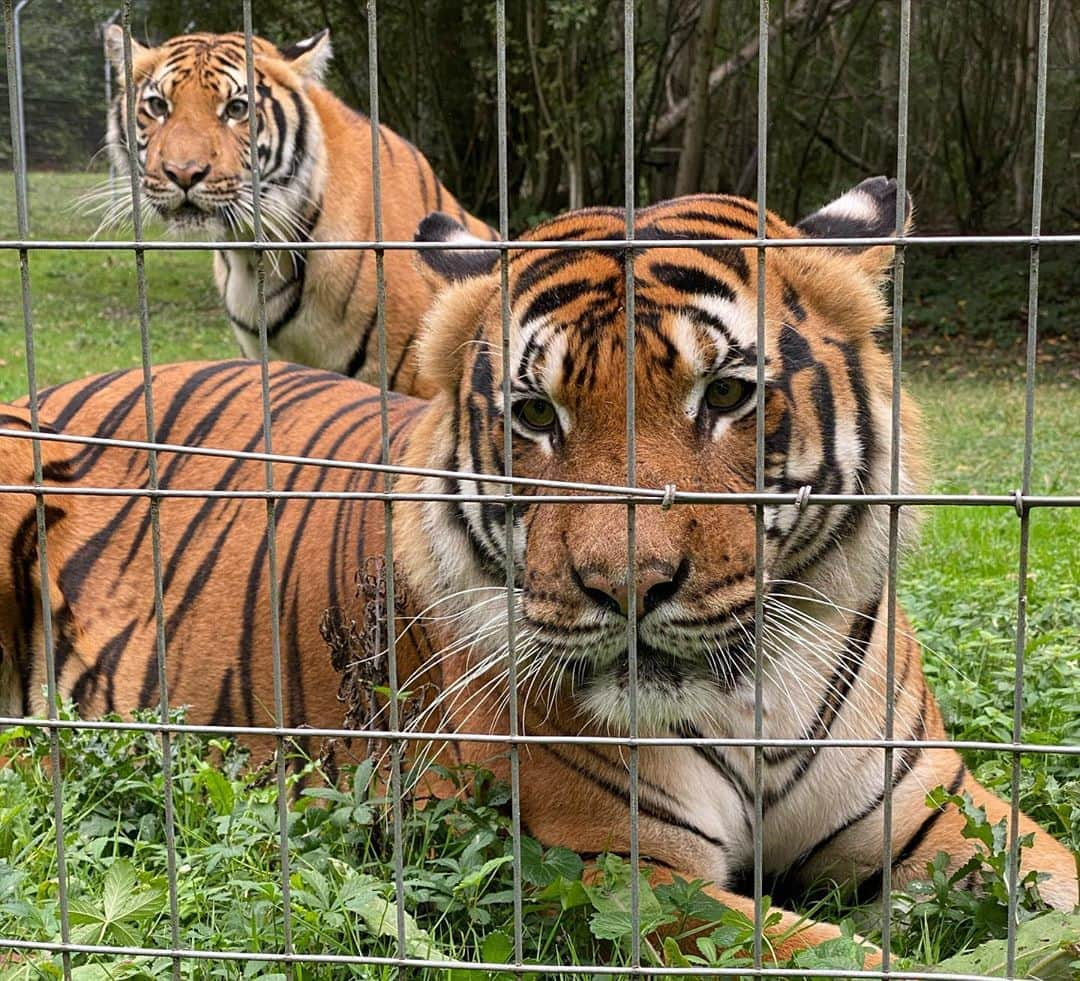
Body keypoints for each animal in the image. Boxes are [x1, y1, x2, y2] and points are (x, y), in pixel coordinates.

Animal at [4, 178, 1075, 963]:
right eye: (534, 414)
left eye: (728, 394)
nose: (628, 586)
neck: (752, 700)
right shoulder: (609, 864)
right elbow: (834, 955)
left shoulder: (934, 810)